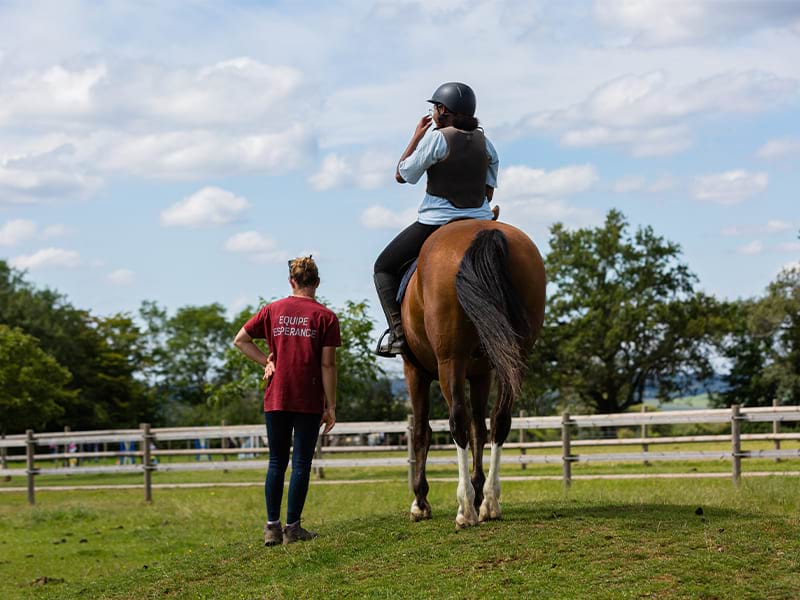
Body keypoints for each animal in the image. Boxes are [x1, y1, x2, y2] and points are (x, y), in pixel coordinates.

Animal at [400, 218, 544, 528]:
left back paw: (465, 508)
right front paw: (480, 494)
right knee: (500, 420)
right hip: (513, 357)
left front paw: (420, 502)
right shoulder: (481, 375)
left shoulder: (414, 370)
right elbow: (481, 429)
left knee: (458, 421)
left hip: (449, 361)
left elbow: (421, 432)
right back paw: (489, 501)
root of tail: (484, 232)